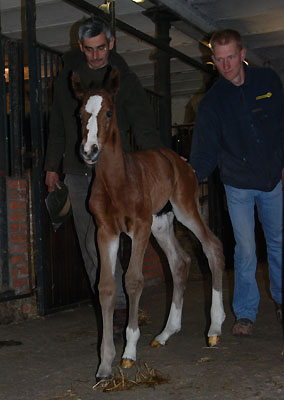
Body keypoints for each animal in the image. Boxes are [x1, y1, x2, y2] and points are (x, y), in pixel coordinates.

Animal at [72, 68, 225, 378]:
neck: (118, 182)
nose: (89, 150)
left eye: (109, 112)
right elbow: (106, 286)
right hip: (161, 224)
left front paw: (128, 351)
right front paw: (105, 363)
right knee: (180, 261)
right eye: (80, 114)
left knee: (212, 246)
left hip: (184, 208)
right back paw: (166, 333)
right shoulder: (105, 231)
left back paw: (215, 328)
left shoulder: (139, 227)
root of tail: (180, 161)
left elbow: (133, 280)